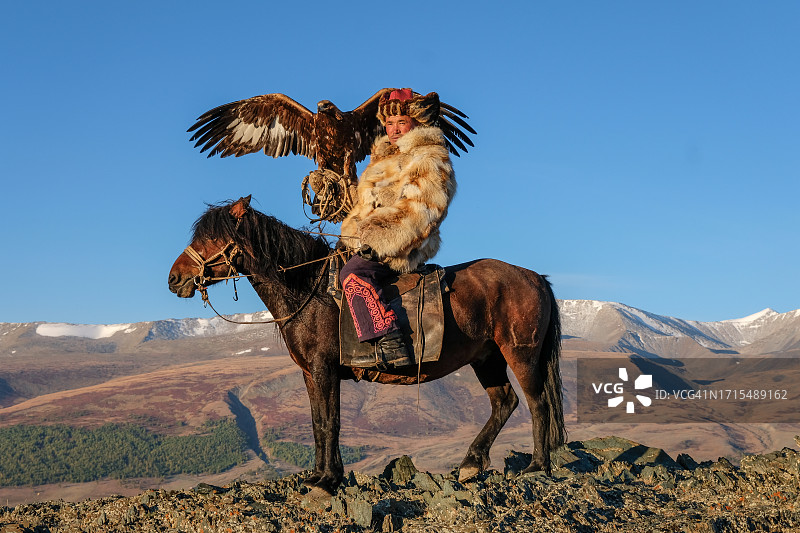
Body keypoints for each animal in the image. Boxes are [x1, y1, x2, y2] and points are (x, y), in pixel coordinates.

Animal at [168, 196, 565, 497]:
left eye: (211, 239)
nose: (175, 279)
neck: (308, 289)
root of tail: (533, 277)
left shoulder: (325, 369)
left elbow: (332, 422)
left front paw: (329, 481)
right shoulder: (311, 374)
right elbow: (318, 422)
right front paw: (319, 476)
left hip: (520, 354)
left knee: (537, 403)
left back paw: (536, 466)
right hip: (486, 358)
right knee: (505, 402)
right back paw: (471, 463)